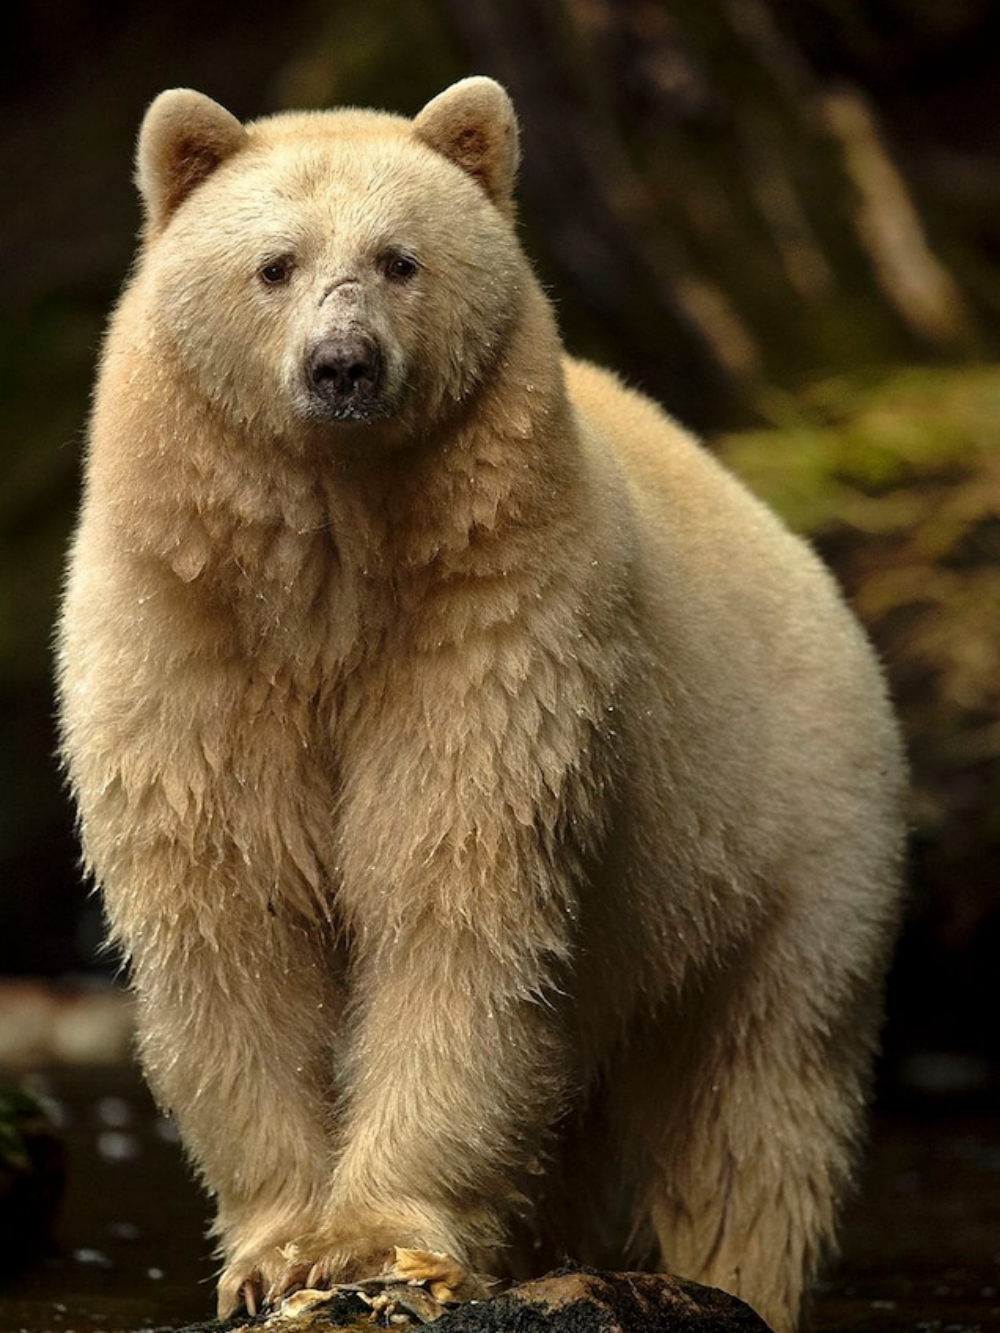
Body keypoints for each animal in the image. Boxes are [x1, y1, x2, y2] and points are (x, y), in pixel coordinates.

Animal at [56, 77, 906, 1333]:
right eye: (274, 264)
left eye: (400, 259)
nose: (343, 364)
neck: (335, 568)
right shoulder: (187, 642)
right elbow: (233, 916)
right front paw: (273, 1250)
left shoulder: (493, 635)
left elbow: (455, 896)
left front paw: (371, 1243)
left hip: (791, 849)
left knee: (753, 1104)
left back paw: (729, 1268)